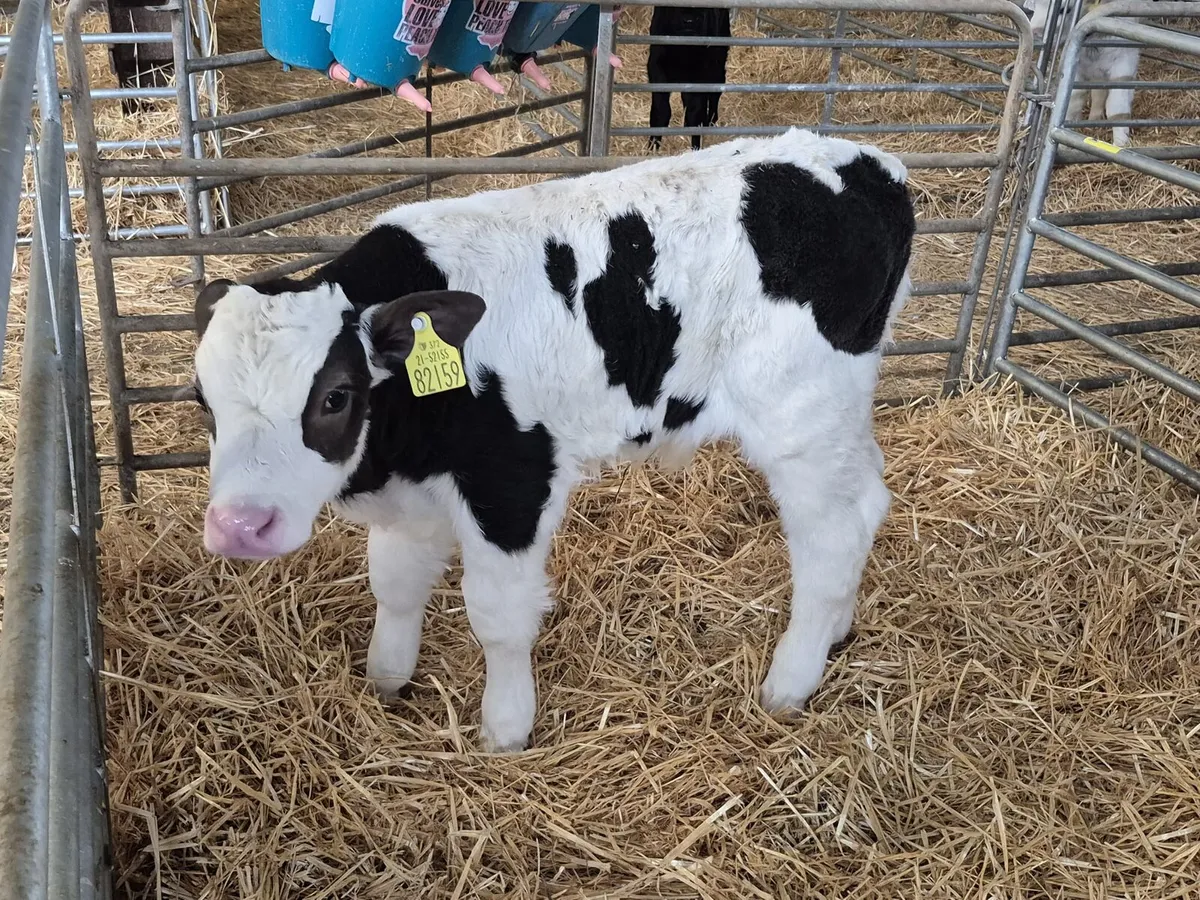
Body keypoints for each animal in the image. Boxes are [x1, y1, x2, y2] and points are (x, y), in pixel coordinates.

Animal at [191, 129, 916, 753]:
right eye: (203, 400)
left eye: (336, 396)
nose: (240, 527)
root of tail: (869, 165)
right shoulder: (415, 495)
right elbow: (394, 584)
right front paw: (386, 680)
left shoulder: (512, 481)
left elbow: (498, 616)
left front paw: (506, 728)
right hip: (841, 415)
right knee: (869, 498)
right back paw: (837, 628)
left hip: (802, 416)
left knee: (832, 536)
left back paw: (790, 681)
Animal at [647, 6, 732, 151]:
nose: (689, 20)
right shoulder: (656, 67)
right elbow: (661, 110)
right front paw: (652, 147)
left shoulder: (702, 71)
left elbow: (695, 112)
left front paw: (696, 148)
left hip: (718, 60)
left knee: (715, 92)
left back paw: (710, 121)